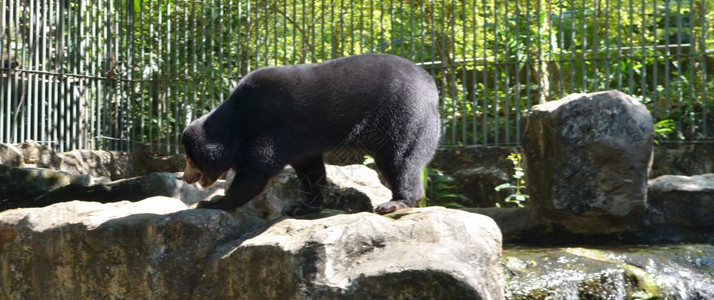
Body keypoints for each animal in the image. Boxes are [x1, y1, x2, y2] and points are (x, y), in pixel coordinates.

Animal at [182, 52, 440, 214]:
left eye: (190, 159)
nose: (186, 178)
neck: (235, 123)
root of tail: (431, 86)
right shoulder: (301, 144)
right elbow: (311, 171)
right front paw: (301, 207)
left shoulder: (271, 127)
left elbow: (255, 172)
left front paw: (213, 203)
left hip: (403, 117)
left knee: (401, 160)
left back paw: (397, 203)